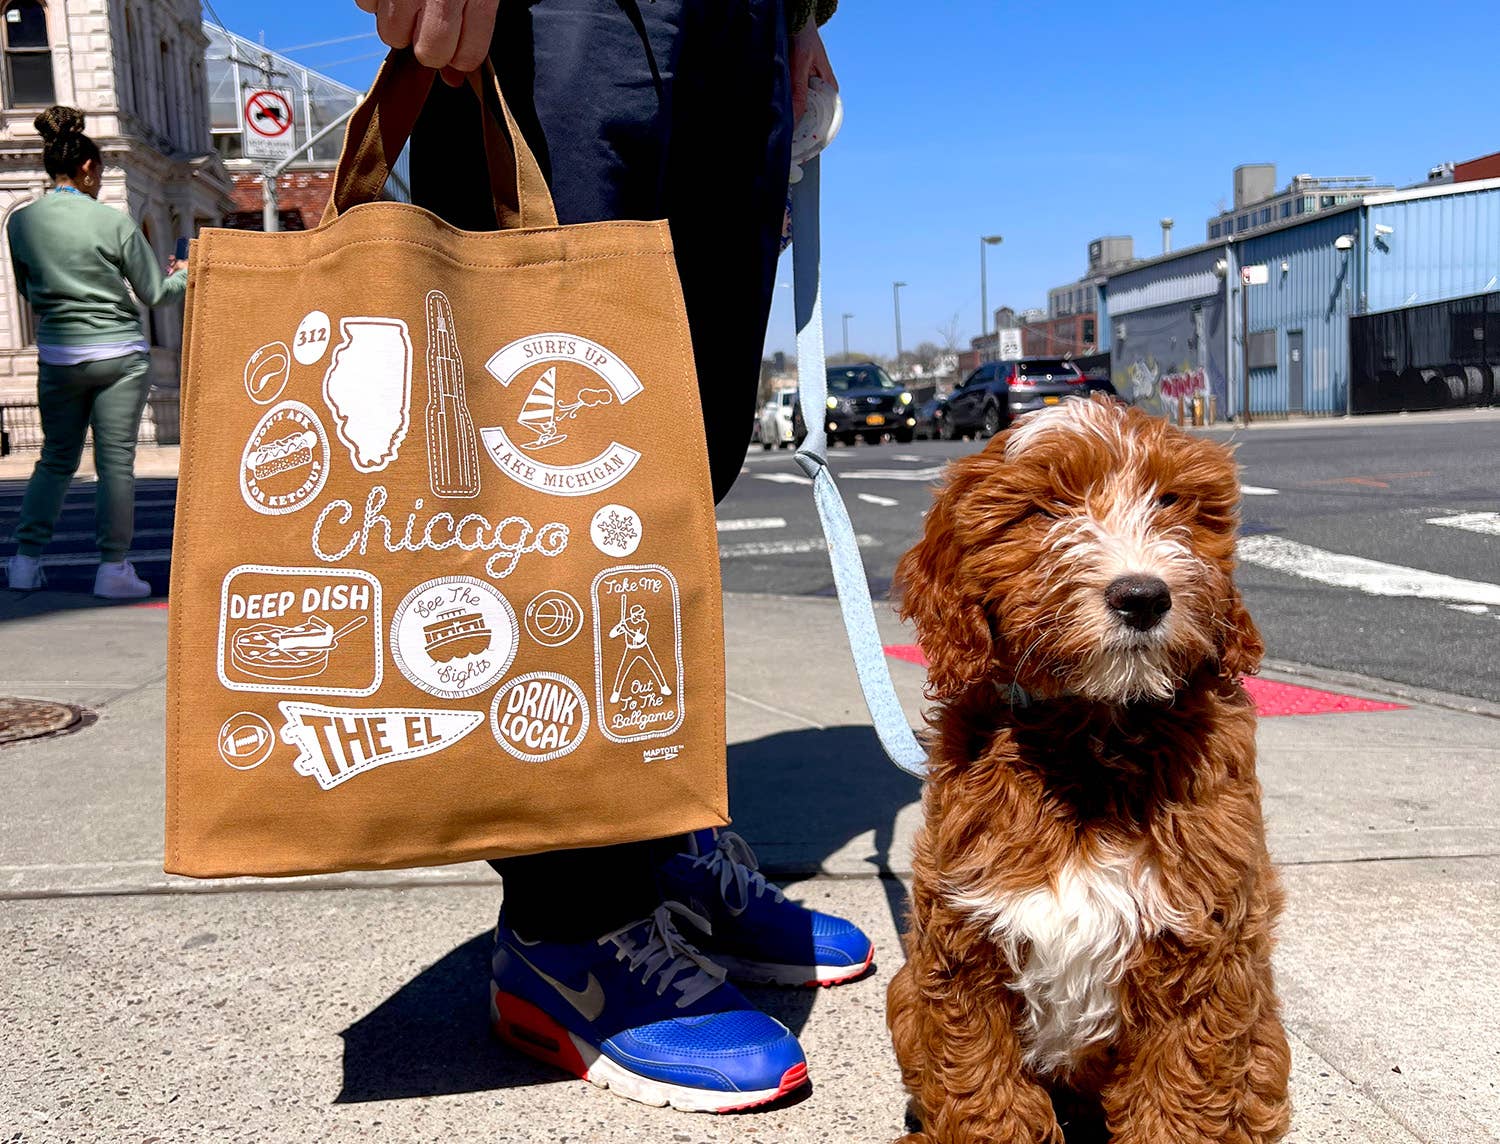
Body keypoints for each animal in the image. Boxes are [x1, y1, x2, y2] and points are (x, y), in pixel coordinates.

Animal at [888, 398, 1290, 1139]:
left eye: (1172, 502)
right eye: (1048, 508)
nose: (1143, 596)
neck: (1093, 735)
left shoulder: (1205, 950)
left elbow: (1176, 1099)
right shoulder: (962, 946)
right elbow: (984, 1093)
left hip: (1263, 1031)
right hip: (906, 995)